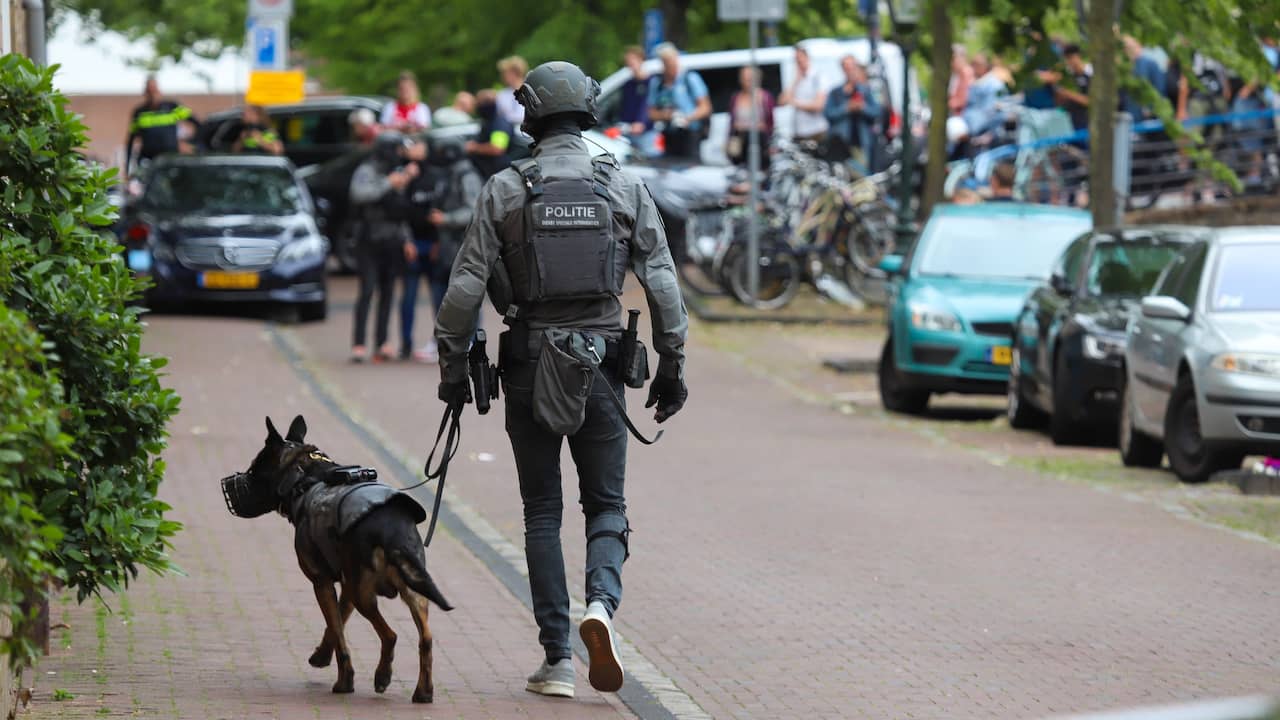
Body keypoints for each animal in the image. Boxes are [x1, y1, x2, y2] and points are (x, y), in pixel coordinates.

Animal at [238, 415, 453, 702]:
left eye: (253, 471)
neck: (303, 476)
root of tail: (392, 527)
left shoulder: (323, 583)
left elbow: (339, 634)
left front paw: (344, 681)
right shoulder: (347, 586)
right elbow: (336, 624)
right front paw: (321, 656)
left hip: (366, 596)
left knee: (391, 635)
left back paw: (382, 676)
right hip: (411, 591)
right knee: (426, 639)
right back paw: (423, 691)